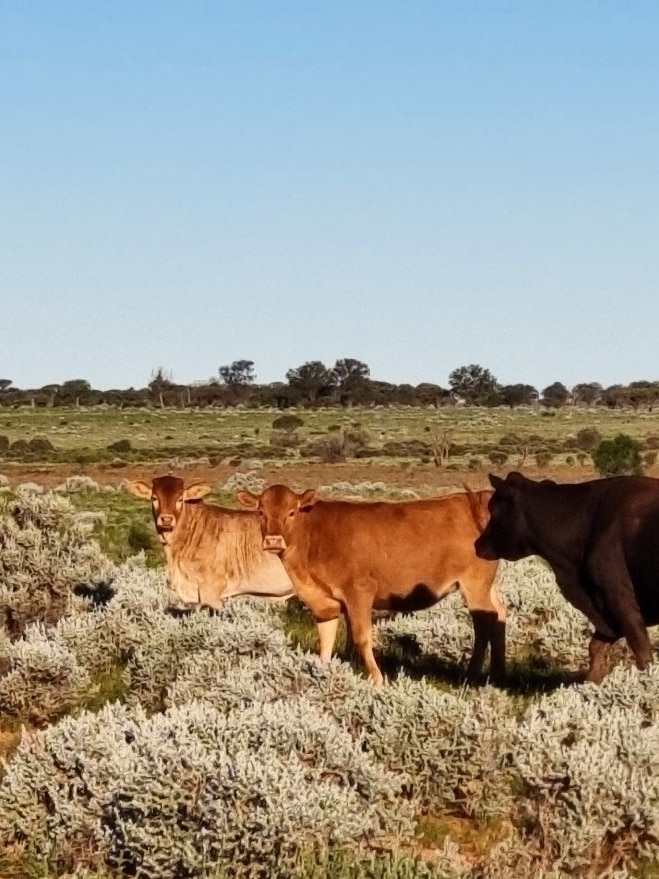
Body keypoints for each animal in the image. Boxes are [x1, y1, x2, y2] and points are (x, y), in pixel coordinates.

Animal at [236, 484, 506, 684]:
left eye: (292, 512)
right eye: (261, 512)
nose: (273, 540)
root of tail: (474, 498)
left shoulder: (359, 591)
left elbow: (361, 636)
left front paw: (376, 678)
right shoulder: (325, 600)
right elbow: (326, 638)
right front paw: (322, 671)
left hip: (474, 583)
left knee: (484, 623)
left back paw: (472, 675)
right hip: (486, 584)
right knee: (500, 613)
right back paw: (497, 674)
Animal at [476, 470, 659, 684]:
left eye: (493, 509)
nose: (478, 544)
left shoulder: (620, 600)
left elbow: (644, 657)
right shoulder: (605, 613)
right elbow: (595, 649)